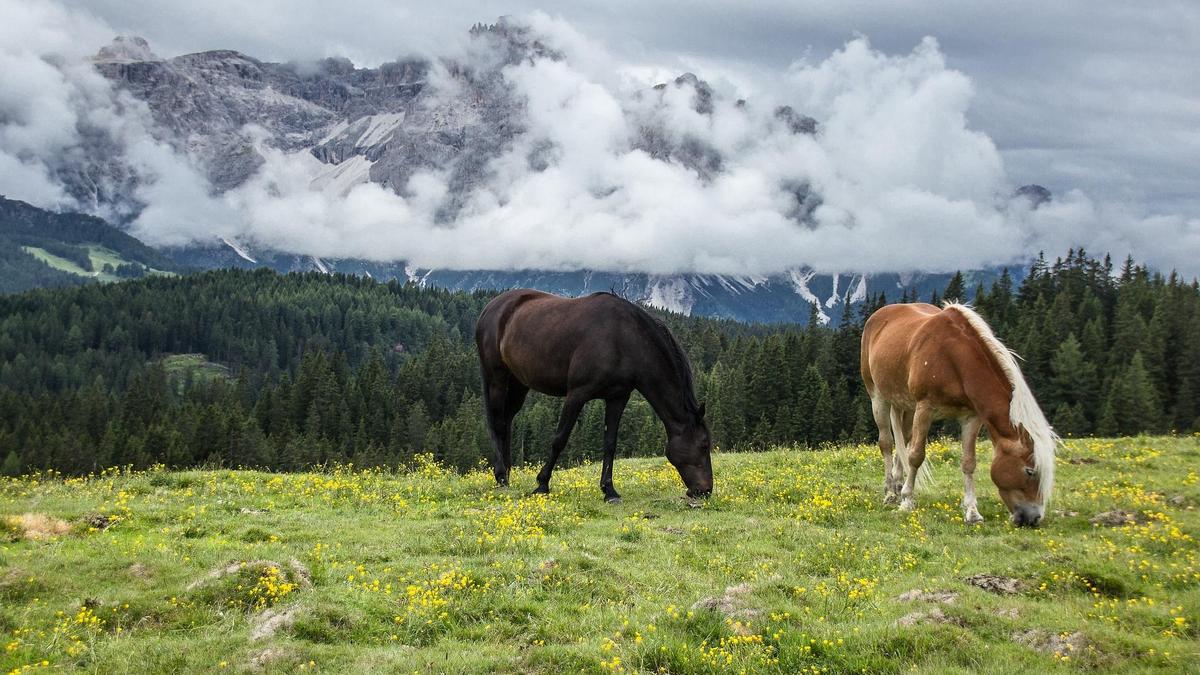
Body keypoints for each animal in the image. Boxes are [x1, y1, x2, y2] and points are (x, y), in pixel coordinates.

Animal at [472, 288, 710, 499]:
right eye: (704, 445)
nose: (705, 490)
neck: (624, 339)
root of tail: (491, 308)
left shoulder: (617, 398)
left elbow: (610, 443)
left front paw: (609, 490)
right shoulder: (577, 394)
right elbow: (559, 439)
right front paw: (542, 484)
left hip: (519, 383)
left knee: (507, 421)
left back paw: (507, 474)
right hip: (497, 377)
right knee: (498, 423)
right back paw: (501, 476)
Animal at [859, 300, 1056, 526]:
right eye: (1030, 471)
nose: (1033, 518)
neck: (953, 358)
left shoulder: (971, 417)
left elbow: (968, 462)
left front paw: (972, 512)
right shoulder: (925, 408)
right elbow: (916, 456)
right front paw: (907, 501)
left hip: (906, 405)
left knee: (904, 440)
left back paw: (898, 484)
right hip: (878, 396)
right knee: (886, 443)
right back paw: (891, 492)